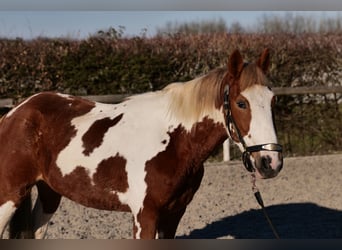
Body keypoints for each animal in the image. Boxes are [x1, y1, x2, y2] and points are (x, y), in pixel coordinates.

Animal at [0, 48, 284, 238]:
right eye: (241, 103)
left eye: (273, 101)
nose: (270, 162)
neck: (174, 141)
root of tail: (14, 114)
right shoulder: (144, 215)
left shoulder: (173, 214)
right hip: (9, 196)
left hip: (49, 192)